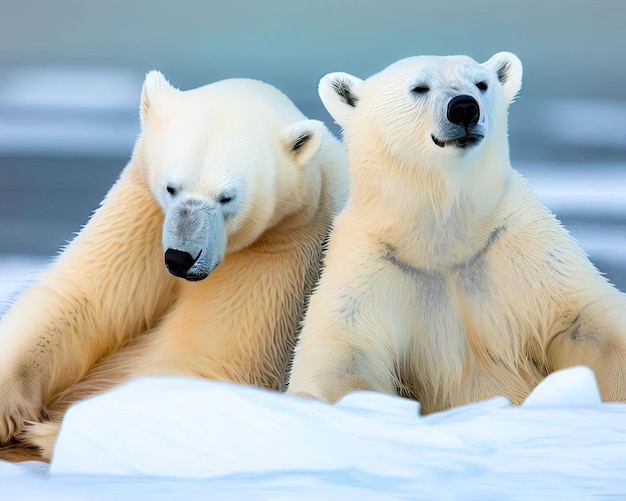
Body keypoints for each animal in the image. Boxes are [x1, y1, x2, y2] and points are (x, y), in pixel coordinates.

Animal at [0, 72, 348, 458]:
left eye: (227, 198)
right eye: (171, 187)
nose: (181, 258)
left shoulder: (283, 247)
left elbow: (214, 355)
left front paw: (61, 429)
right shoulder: (144, 213)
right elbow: (84, 301)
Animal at [286, 50, 624, 412]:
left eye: (482, 83)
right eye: (419, 87)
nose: (464, 107)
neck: (445, 238)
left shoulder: (522, 249)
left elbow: (586, 324)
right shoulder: (370, 267)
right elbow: (341, 356)